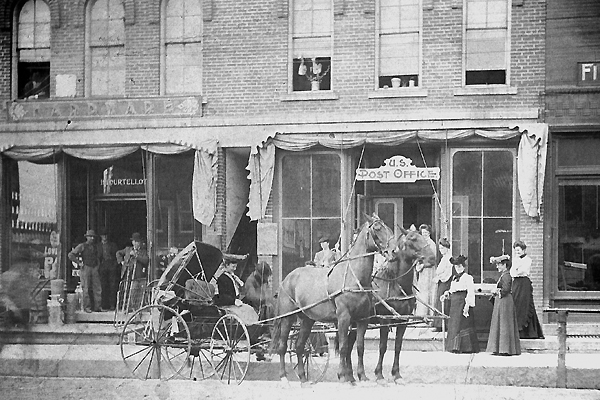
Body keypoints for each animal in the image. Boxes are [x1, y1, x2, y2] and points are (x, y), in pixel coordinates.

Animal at [270, 214, 396, 386]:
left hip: (307, 319)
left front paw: (362, 376)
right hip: (287, 317)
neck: (353, 277)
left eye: (387, 226)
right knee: (282, 346)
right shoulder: (343, 318)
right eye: (377, 229)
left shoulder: (362, 319)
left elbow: (360, 347)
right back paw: (283, 377)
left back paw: (303, 378)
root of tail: (287, 279)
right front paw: (343, 376)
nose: (393, 251)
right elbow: (343, 347)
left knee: (299, 346)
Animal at [370, 227, 436, 382]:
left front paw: (396, 373)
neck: (396, 284)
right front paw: (379, 373)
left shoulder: (404, 320)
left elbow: (398, 346)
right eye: (412, 238)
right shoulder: (384, 319)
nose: (432, 258)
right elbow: (383, 346)